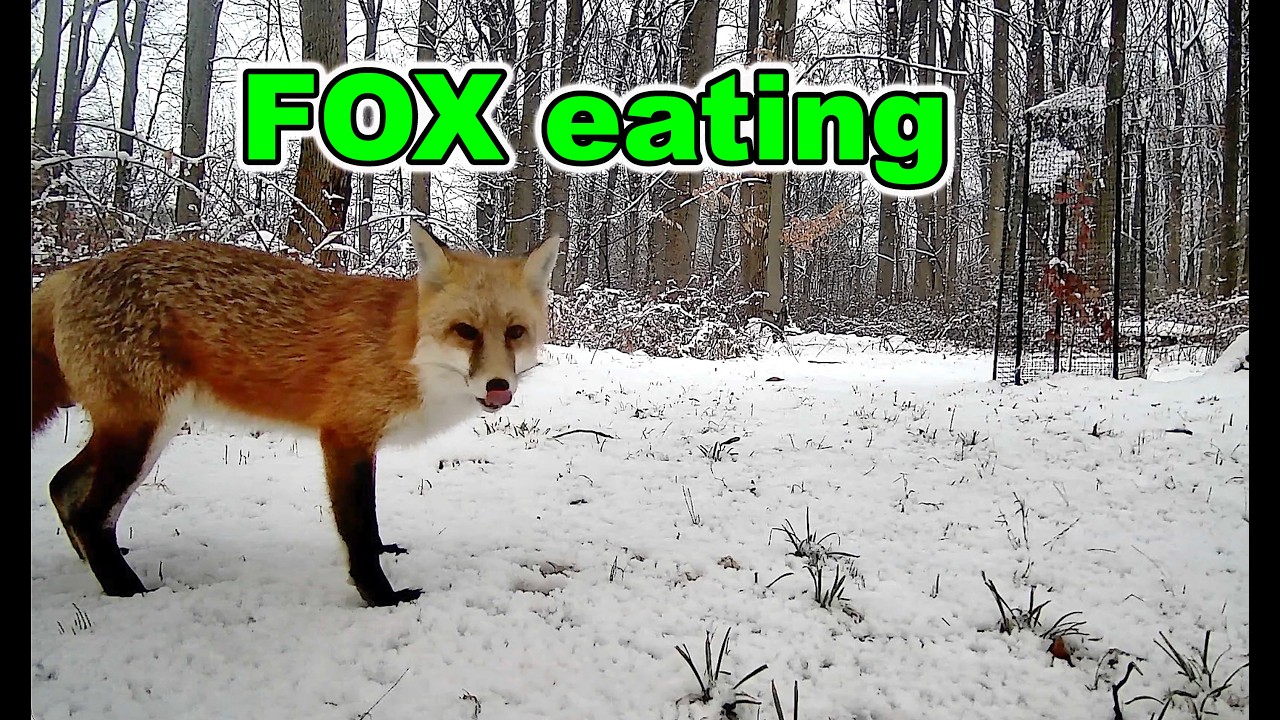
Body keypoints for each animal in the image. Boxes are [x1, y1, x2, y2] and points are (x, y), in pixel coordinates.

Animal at [30, 224, 559, 606]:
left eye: (515, 333)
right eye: (465, 331)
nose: (498, 386)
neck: (405, 351)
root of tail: (74, 270)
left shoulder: (360, 443)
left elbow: (371, 526)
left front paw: (384, 561)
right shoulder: (344, 437)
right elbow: (358, 529)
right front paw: (381, 597)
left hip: (136, 432)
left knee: (63, 486)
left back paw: (97, 567)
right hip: (141, 433)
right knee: (90, 511)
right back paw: (127, 591)